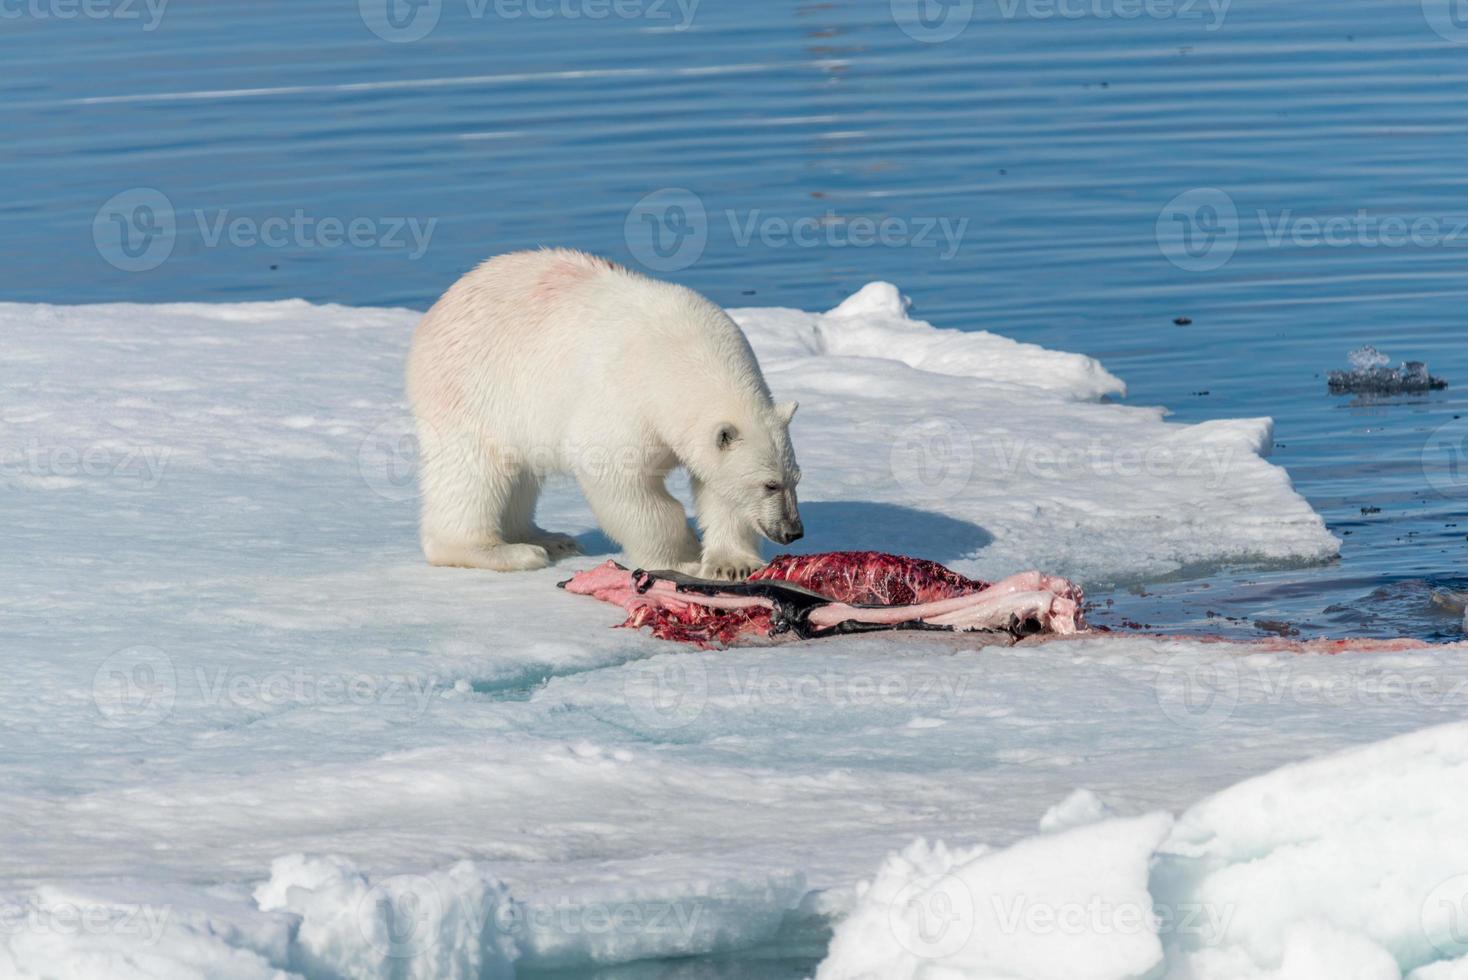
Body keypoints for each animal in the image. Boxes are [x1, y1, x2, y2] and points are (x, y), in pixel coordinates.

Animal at [408, 249, 810, 578]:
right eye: (769, 484)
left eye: (796, 478)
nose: (792, 531)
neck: (682, 355)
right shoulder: (623, 398)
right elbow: (621, 478)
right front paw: (683, 557)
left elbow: (718, 489)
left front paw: (732, 564)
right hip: (470, 390)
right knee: (473, 473)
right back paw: (507, 551)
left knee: (521, 475)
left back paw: (551, 538)